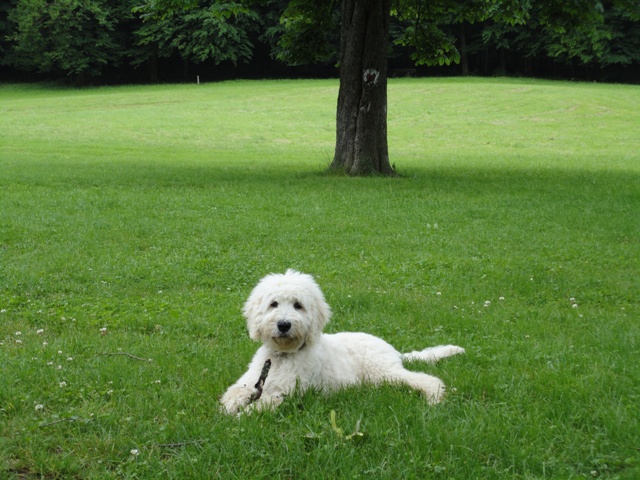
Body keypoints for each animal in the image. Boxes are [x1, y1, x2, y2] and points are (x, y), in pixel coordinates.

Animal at [221, 268, 464, 414]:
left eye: (298, 305)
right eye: (273, 304)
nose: (283, 325)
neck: (282, 357)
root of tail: (392, 350)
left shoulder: (289, 391)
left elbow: (265, 403)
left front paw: (243, 415)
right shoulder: (252, 380)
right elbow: (233, 393)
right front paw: (229, 407)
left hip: (383, 372)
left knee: (424, 379)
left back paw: (434, 396)